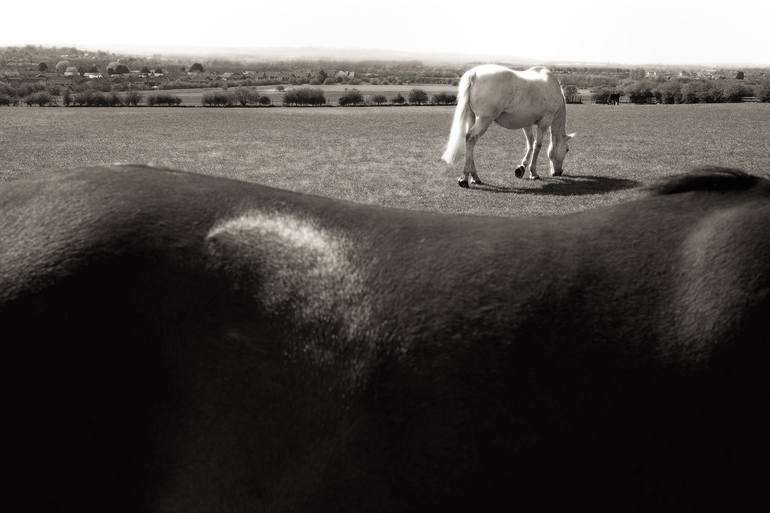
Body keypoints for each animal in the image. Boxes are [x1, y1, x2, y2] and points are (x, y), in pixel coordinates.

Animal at [440, 64, 572, 187]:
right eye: (567, 150)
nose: (559, 172)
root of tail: (474, 74)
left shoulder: (526, 123)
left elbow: (530, 143)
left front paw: (521, 168)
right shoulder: (544, 122)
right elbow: (537, 146)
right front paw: (533, 173)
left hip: (472, 117)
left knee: (469, 142)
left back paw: (474, 177)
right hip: (484, 120)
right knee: (471, 138)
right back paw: (464, 178)